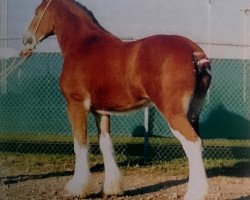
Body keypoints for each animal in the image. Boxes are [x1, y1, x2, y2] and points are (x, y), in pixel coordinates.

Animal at [21, 0, 212, 199]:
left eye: (37, 12)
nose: (27, 39)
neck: (82, 45)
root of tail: (193, 52)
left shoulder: (76, 106)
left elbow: (79, 143)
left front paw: (76, 188)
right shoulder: (101, 111)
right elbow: (105, 145)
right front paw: (111, 189)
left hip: (174, 114)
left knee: (192, 143)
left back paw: (195, 193)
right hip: (193, 114)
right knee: (199, 143)